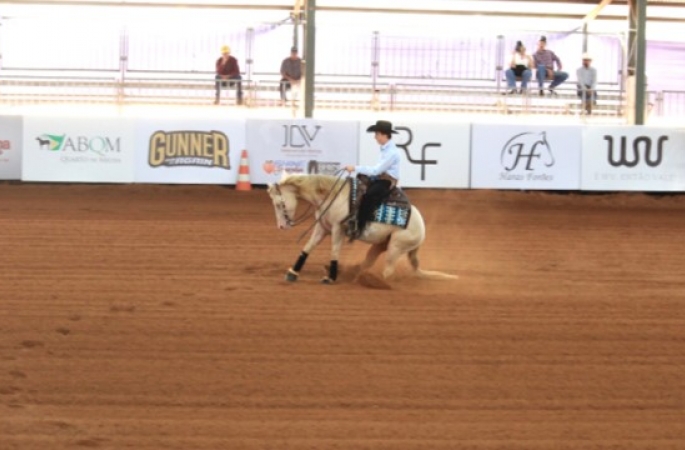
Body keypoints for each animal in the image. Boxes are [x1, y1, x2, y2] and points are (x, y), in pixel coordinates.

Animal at [266, 172, 454, 284]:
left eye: (278, 204)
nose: (281, 226)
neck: (332, 195)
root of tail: (421, 230)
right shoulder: (323, 227)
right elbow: (308, 247)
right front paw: (293, 272)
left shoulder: (337, 228)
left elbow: (335, 250)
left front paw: (330, 277)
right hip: (380, 245)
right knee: (369, 262)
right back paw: (356, 274)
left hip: (396, 247)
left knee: (388, 271)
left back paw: (378, 283)